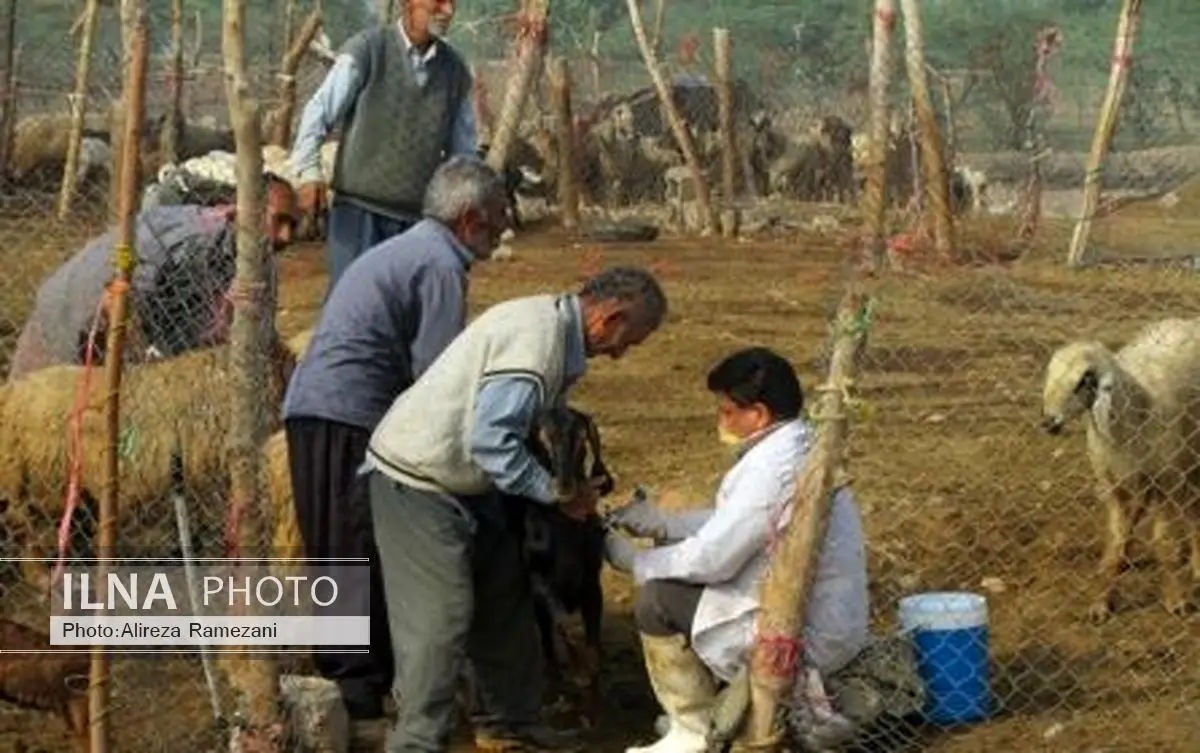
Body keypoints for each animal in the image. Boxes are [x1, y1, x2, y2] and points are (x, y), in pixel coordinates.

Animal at [499, 405, 614, 724]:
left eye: (581, 438)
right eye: (542, 438)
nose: (564, 487)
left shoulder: (592, 584)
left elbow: (593, 648)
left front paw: (594, 702)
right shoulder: (540, 585)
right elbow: (562, 624)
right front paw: (576, 675)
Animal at [1041, 314, 1200, 618]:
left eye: (1083, 380)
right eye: (1050, 376)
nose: (1048, 422)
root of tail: (1184, 320)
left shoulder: (1165, 481)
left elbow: (1164, 544)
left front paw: (1175, 599)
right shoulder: (1113, 485)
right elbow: (1114, 542)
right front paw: (1102, 601)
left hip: (1189, 458)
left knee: (1194, 509)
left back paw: (1197, 564)